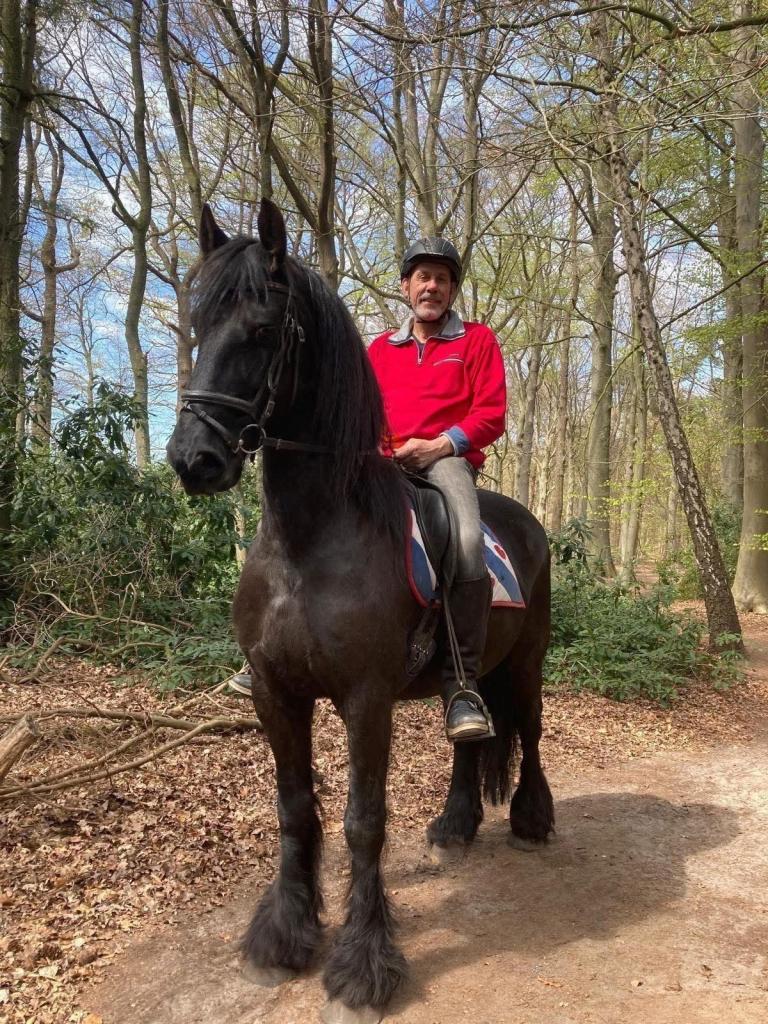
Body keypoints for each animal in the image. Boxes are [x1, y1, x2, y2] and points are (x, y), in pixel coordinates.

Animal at [167, 199, 554, 1024]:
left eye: (262, 330)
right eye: (197, 322)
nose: (194, 459)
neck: (309, 544)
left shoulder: (366, 700)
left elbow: (362, 822)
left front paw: (362, 968)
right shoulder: (278, 695)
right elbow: (295, 809)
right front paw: (283, 939)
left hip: (529, 665)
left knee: (530, 737)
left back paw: (532, 822)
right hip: (463, 678)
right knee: (469, 738)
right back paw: (454, 827)